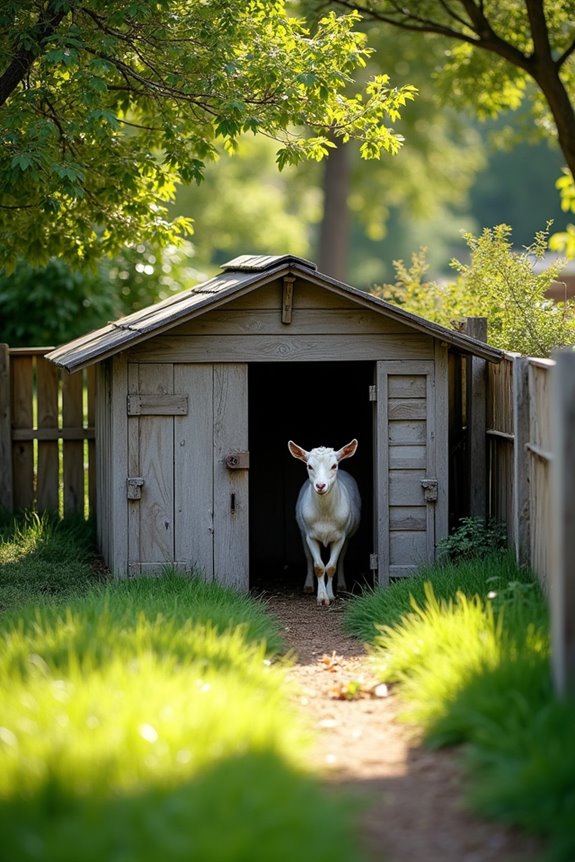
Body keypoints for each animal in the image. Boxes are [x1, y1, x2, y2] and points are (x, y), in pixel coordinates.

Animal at [288, 439, 361, 606]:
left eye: (334, 465)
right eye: (309, 466)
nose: (320, 486)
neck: (325, 515)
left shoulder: (340, 536)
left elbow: (331, 567)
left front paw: (331, 595)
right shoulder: (310, 535)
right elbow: (319, 567)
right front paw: (321, 597)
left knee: (341, 559)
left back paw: (341, 585)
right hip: (303, 532)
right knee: (308, 558)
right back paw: (308, 586)